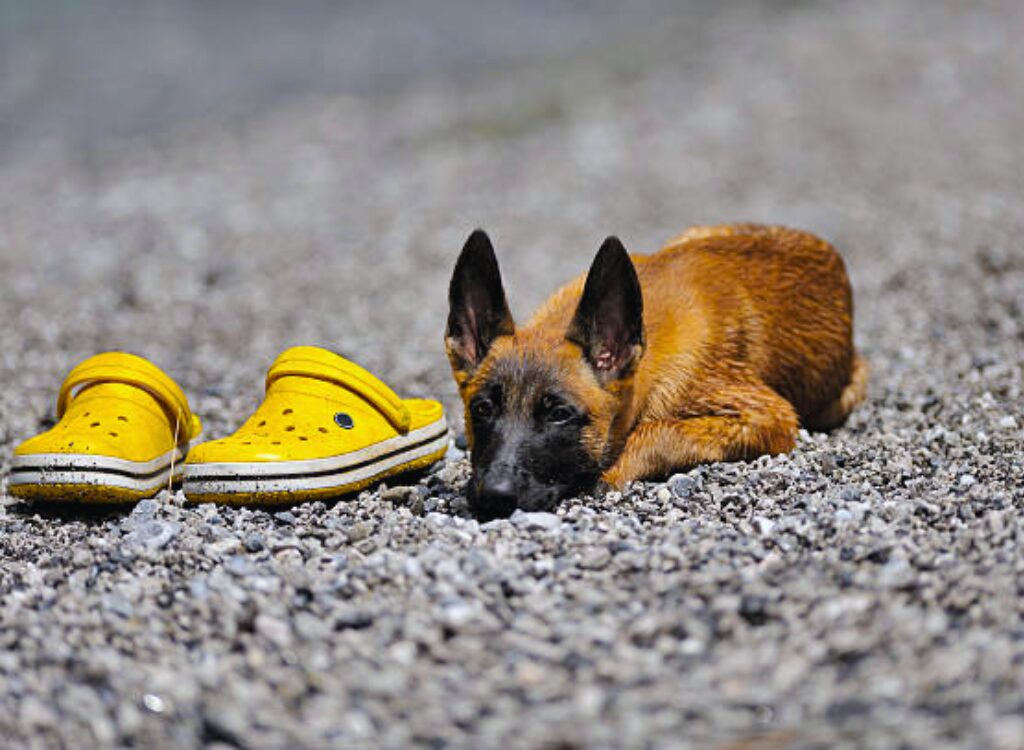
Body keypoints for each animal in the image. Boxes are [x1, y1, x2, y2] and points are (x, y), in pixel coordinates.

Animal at [444, 222, 868, 518]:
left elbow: (658, 431)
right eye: (482, 409)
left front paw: (613, 472)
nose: (493, 497)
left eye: (559, 414)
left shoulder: (768, 416)